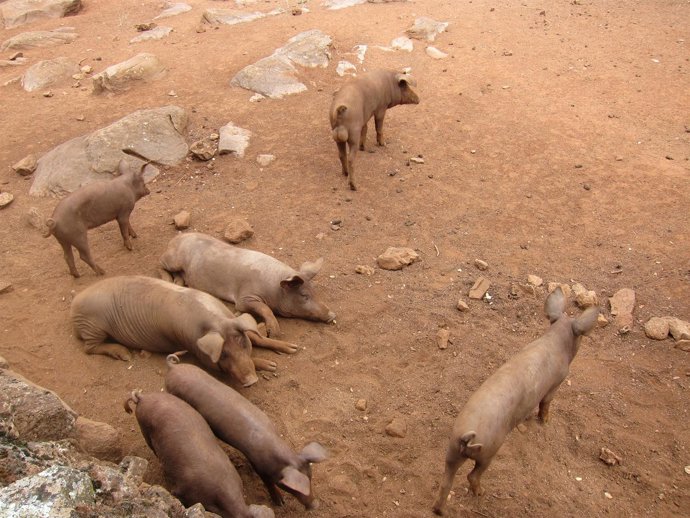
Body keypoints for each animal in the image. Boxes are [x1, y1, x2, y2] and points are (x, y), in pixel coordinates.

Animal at [71, 276, 300, 387]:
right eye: (223, 354)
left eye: (242, 343)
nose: (251, 381)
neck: (216, 321)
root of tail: (75, 300)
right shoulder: (195, 350)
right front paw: (271, 365)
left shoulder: (232, 320)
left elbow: (257, 337)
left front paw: (292, 349)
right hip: (93, 327)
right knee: (89, 349)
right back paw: (125, 355)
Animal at [160, 232, 336, 338]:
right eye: (304, 295)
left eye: (316, 292)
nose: (332, 315)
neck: (274, 289)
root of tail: (175, 238)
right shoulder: (245, 296)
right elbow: (264, 308)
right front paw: (274, 333)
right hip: (173, 260)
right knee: (160, 262)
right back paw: (168, 280)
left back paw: (178, 283)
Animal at [165, 353, 327, 509]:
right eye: (291, 488)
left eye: (311, 478)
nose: (315, 505)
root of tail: (173, 368)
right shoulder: (257, 464)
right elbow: (267, 483)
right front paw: (280, 503)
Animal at [432, 288, 599, 515]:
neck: (557, 341)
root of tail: (465, 437)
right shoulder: (555, 383)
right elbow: (546, 404)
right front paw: (545, 422)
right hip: (489, 449)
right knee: (472, 475)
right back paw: (482, 494)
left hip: (451, 450)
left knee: (445, 481)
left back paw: (438, 510)